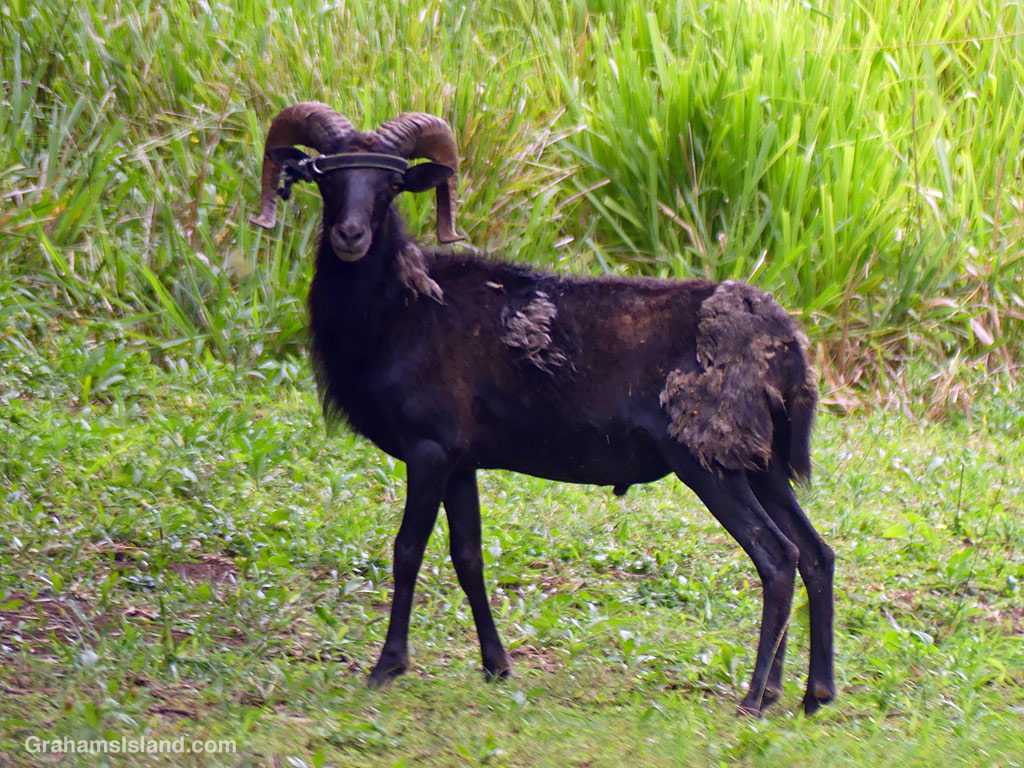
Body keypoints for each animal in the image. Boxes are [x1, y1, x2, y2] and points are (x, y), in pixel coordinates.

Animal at [250, 102, 836, 716]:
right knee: (816, 554)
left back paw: (753, 699)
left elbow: (408, 550)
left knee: (777, 559)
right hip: (758, 460)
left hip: (709, 459)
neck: (399, 309)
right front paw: (496, 665)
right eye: (325, 177)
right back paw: (809, 693)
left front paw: (387, 667)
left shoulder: (429, 448)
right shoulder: (460, 460)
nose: (350, 235)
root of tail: (785, 342)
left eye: (391, 185)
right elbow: (468, 556)